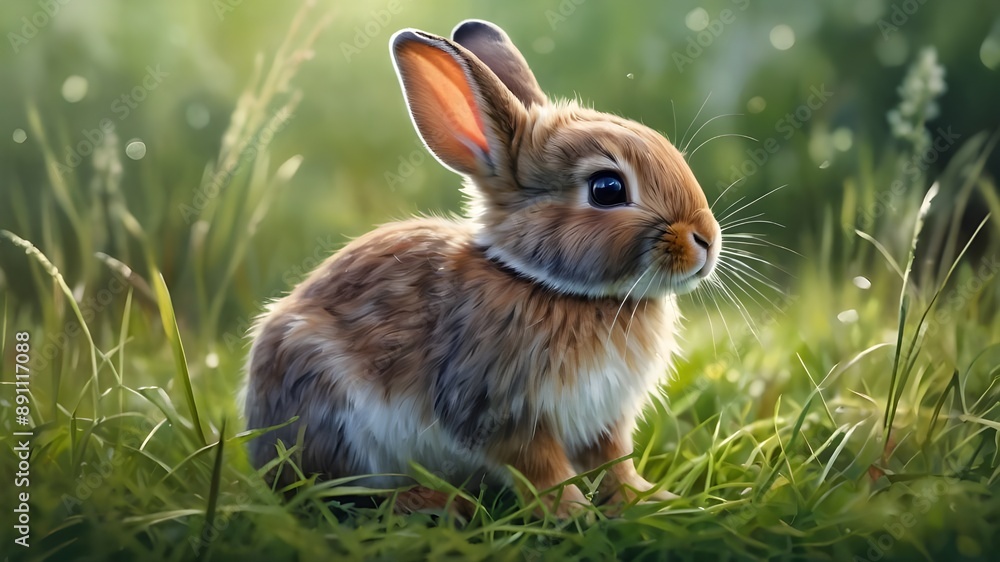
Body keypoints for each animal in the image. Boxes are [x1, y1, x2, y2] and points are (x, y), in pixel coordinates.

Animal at [243, 19, 721, 518]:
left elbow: (614, 463)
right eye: (607, 188)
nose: (706, 240)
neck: (551, 286)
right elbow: (541, 468)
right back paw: (435, 503)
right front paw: (572, 513)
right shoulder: (498, 409)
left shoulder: (604, 419)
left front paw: (649, 500)